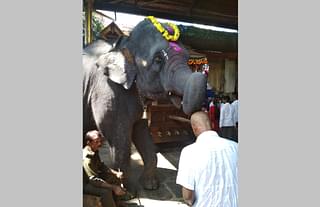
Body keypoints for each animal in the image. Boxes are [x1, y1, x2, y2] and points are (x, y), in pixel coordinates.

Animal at [82, 17, 208, 190]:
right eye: (158, 60)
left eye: (188, 58)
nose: (204, 69)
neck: (123, 43)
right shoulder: (107, 90)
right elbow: (118, 138)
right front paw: (127, 190)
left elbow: (141, 130)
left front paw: (151, 185)